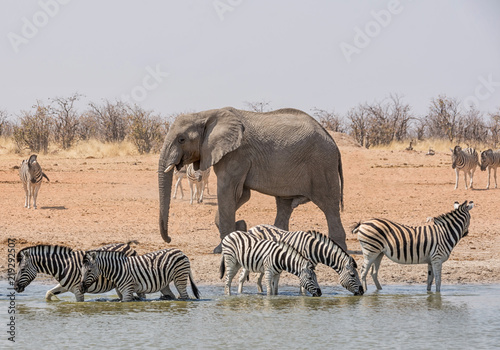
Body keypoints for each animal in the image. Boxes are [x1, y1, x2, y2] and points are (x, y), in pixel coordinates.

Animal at [13, 242, 141, 302]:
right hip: (120, 285)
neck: (63, 266)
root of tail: (127, 245)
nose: (15, 287)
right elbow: (48, 293)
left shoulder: (78, 291)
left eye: (22, 269)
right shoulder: (65, 286)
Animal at [158, 105, 346, 253]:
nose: (169, 239)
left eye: (181, 139)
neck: (205, 114)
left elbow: (229, 192)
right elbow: (241, 195)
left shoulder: (236, 154)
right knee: (284, 205)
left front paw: (221, 248)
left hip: (322, 165)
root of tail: (332, 141)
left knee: (329, 205)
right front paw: (240, 227)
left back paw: (339, 248)